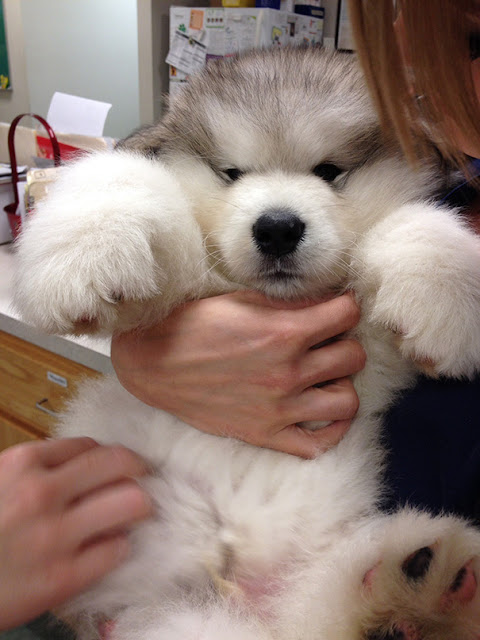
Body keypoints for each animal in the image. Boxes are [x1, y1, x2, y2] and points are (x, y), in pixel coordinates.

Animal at [12, 48, 480, 640]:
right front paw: (83, 253)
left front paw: (445, 295)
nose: (277, 228)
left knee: (320, 612)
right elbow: (121, 175)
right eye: (231, 173)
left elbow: (413, 222)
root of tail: (234, 583)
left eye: (328, 172)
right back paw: (413, 588)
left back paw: (417, 589)